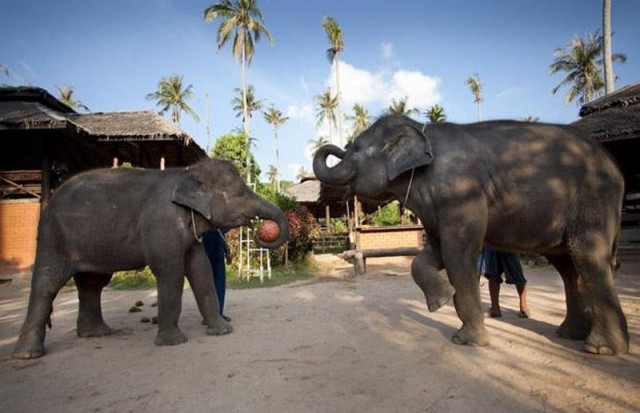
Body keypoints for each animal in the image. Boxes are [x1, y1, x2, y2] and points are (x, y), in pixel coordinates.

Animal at [13, 158, 288, 358]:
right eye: (240, 194)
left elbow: (201, 270)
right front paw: (174, 343)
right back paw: (27, 355)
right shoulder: (163, 223)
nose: (261, 231)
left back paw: (96, 334)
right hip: (53, 235)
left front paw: (223, 331)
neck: (185, 172)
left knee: (93, 284)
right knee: (48, 283)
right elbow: (170, 271)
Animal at [316, 113, 632, 354]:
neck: (420, 131)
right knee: (567, 265)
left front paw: (466, 341)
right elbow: (431, 254)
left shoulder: (461, 192)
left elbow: (459, 255)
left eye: (356, 148)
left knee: (587, 257)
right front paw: (440, 300)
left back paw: (601, 348)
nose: (336, 146)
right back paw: (569, 334)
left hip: (594, 198)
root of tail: (614, 166)